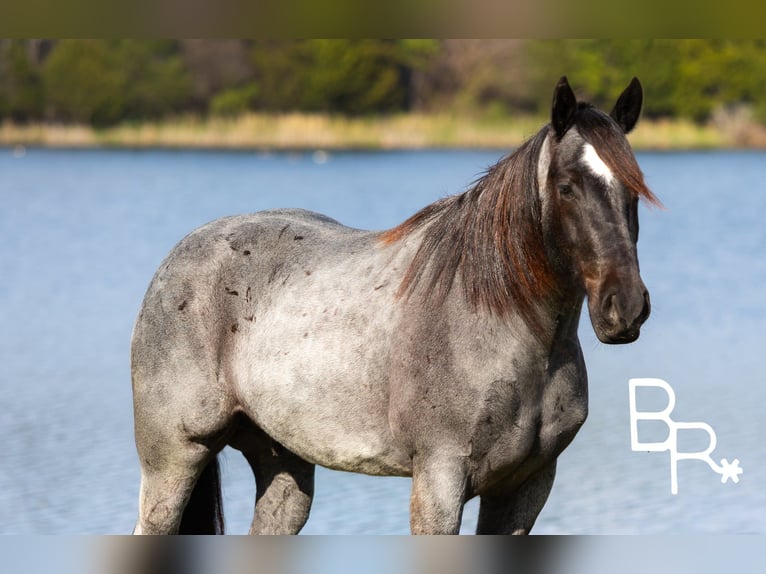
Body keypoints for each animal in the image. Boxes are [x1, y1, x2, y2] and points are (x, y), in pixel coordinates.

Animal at [131, 77, 660, 535]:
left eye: (635, 188)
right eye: (567, 186)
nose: (625, 307)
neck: (504, 328)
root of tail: (176, 258)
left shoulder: (526, 487)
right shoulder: (439, 480)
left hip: (284, 467)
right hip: (174, 460)